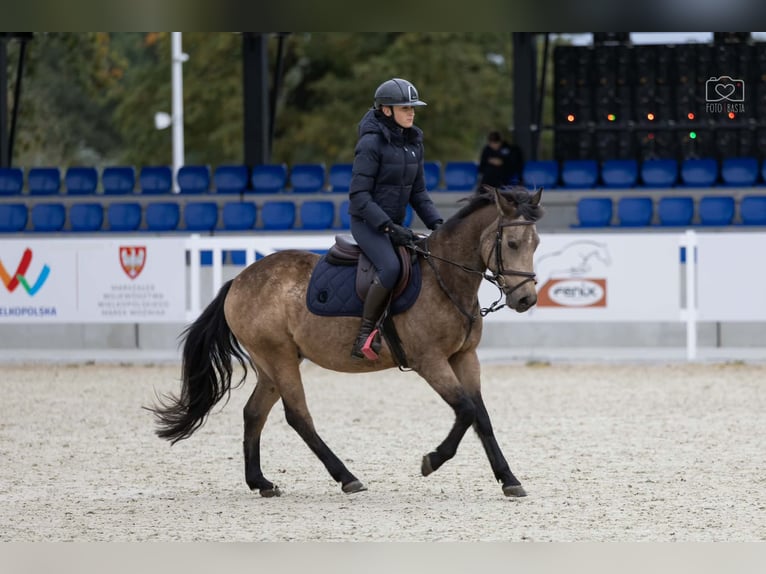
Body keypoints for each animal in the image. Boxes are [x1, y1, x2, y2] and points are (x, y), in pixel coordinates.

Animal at [148, 185, 543, 498]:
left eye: (536, 243)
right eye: (511, 243)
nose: (526, 300)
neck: (444, 277)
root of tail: (238, 280)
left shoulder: (464, 357)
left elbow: (481, 416)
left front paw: (509, 479)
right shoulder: (429, 360)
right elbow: (465, 410)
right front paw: (431, 461)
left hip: (273, 363)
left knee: (254, 412)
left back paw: (260, 482)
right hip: (279, 357)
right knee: (298, 416)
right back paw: (347, 477)